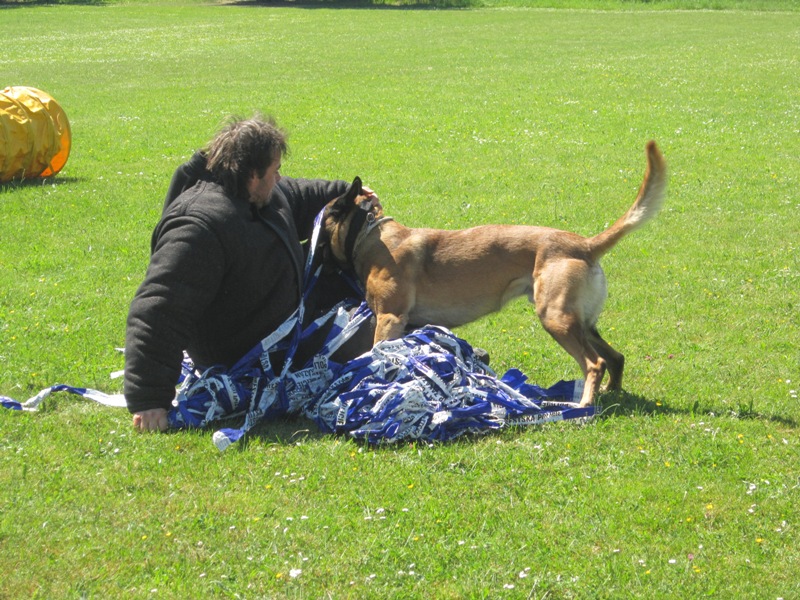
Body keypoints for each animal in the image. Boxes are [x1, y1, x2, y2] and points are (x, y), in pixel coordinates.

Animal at [322, 141, 666, 407]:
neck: (370, 235)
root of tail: (585, 244)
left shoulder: (390, 319)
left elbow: (376, 354)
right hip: (582, 322)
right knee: (615, 357)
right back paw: (612, 393)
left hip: (556, 318)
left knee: (595, 363)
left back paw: (584, 405)